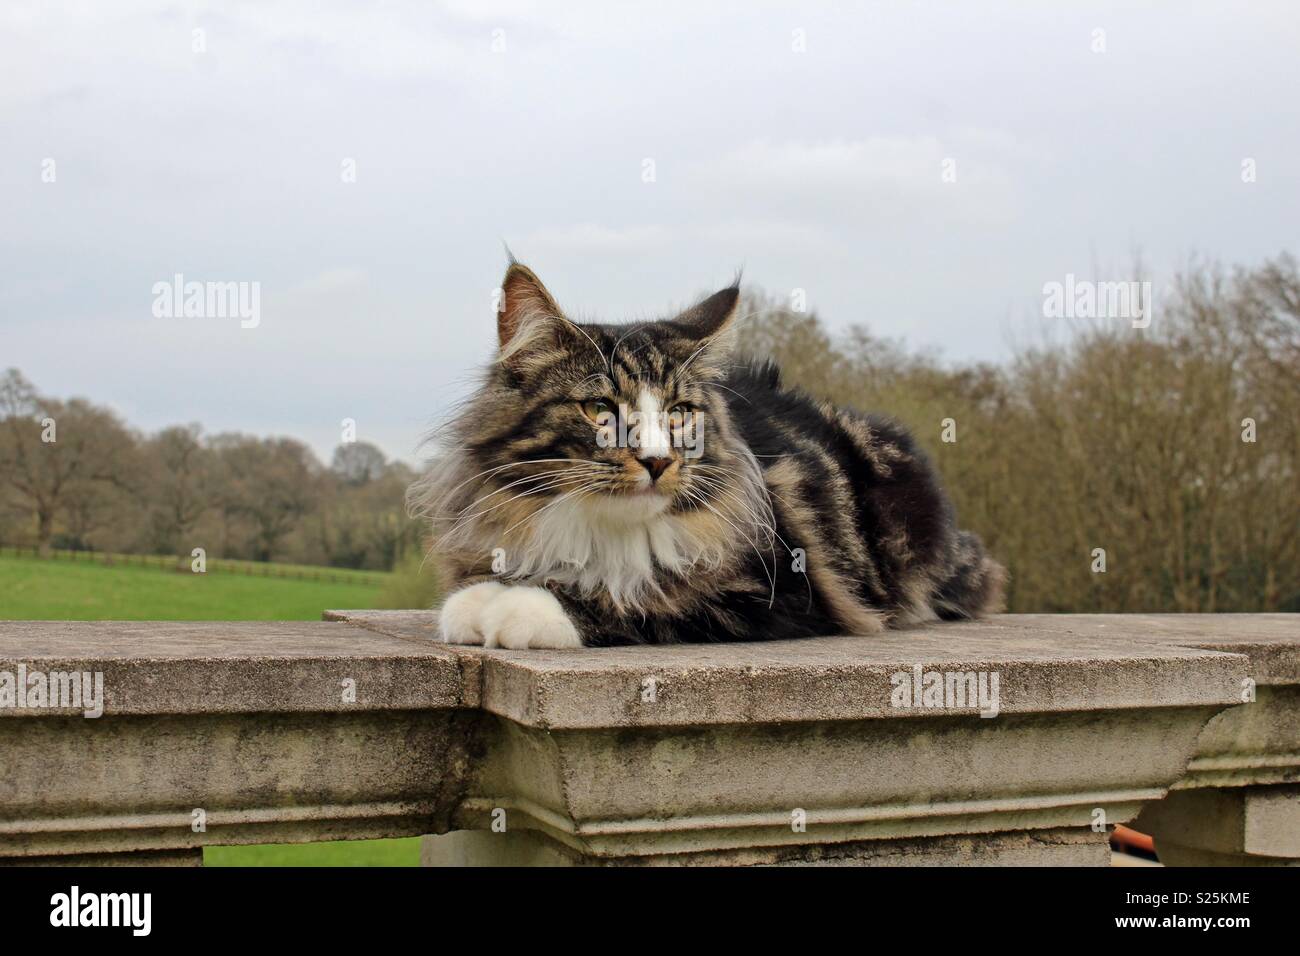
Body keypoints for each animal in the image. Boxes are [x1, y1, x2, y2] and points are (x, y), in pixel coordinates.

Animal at [408, 261, 1003, 650]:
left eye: (679, 413)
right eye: (600, 408)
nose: (657, 461)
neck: (598, 531)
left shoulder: (773, 591)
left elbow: (635, 601)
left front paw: (519, 606)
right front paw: (480, 599)